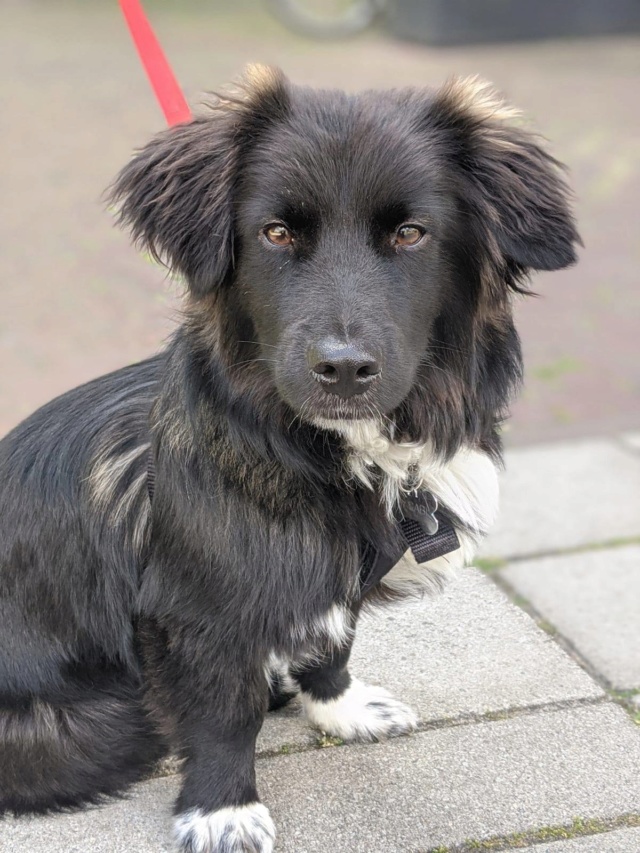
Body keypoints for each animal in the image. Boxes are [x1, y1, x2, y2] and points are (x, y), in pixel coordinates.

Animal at [0, 68, 576, 852]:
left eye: (410, 233)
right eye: (276, 232)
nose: (343, 369)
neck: (325, 451)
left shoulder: (333, 568)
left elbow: (333, 640)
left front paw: (341, 708)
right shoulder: (198, 612)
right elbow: (221, 715)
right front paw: (222, 810)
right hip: (85, 725)